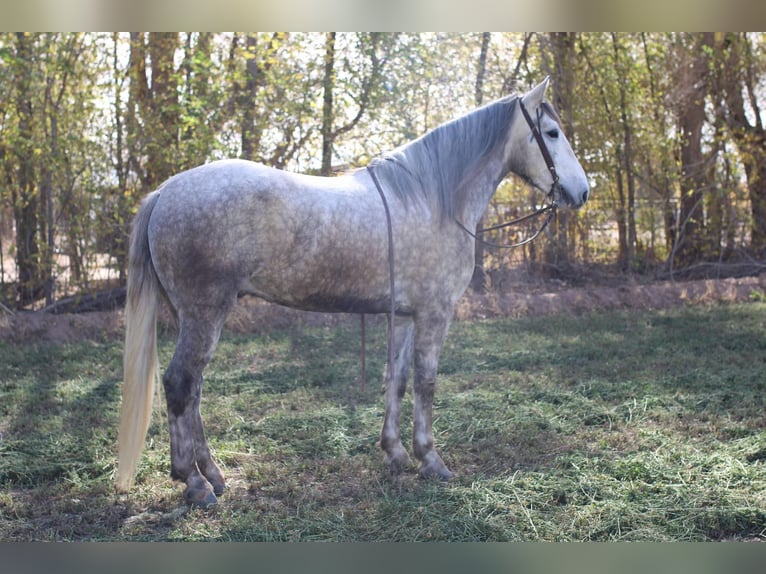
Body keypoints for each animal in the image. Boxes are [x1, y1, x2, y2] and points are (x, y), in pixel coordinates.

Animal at [117, 79, 592, 506]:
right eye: (551, 133)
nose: (582, 191)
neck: (433, 200)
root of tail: (166, 192)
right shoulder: (434, 313)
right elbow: (426, 382)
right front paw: (430, 460)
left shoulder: (404, 315)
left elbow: (396, 379)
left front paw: (395, 453)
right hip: (204, 313)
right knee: (180, 384)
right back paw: (194, 483)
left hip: (195, 316)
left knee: (194, 390)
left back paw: (213, 474)